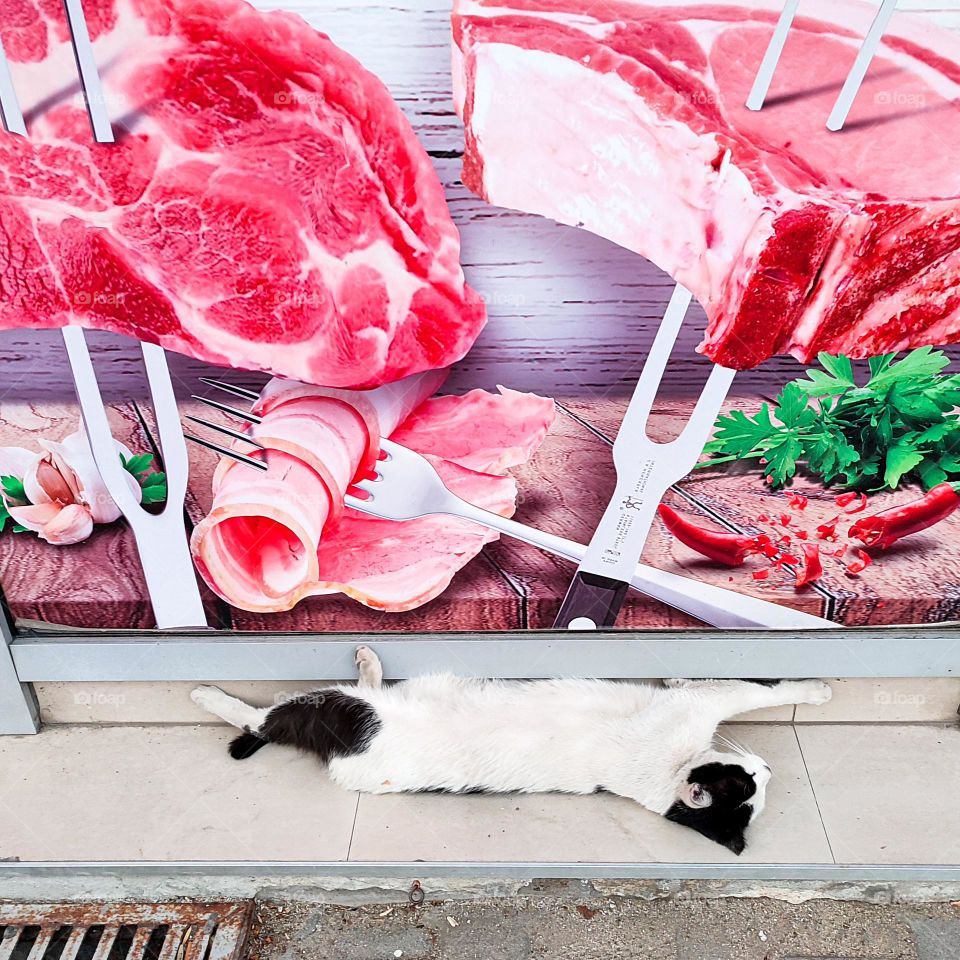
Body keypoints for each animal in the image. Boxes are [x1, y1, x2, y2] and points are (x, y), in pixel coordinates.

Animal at [191, 648, 828, 860]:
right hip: (349, 710)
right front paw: (817, 689)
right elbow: (761, 688)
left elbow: (748, 687)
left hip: (346, 713)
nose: (769, 766)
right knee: (267, 717)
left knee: (271, 718)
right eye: (749, 782)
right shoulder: (702, 701)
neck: (665, 781)